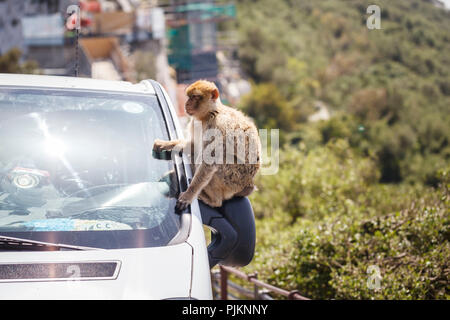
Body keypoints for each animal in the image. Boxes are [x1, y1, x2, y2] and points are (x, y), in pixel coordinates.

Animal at [154, 80, 262, 210]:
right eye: (189, 97)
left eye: (195, 97)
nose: (187, 103)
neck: (208, 114)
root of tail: (248, 184)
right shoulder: (195, 123)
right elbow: (193, 146)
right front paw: (165, 144)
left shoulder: (218, 127)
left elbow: (209, 162)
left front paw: (188, 195)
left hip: (233, 181)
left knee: (221, 161)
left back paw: (213, 200)